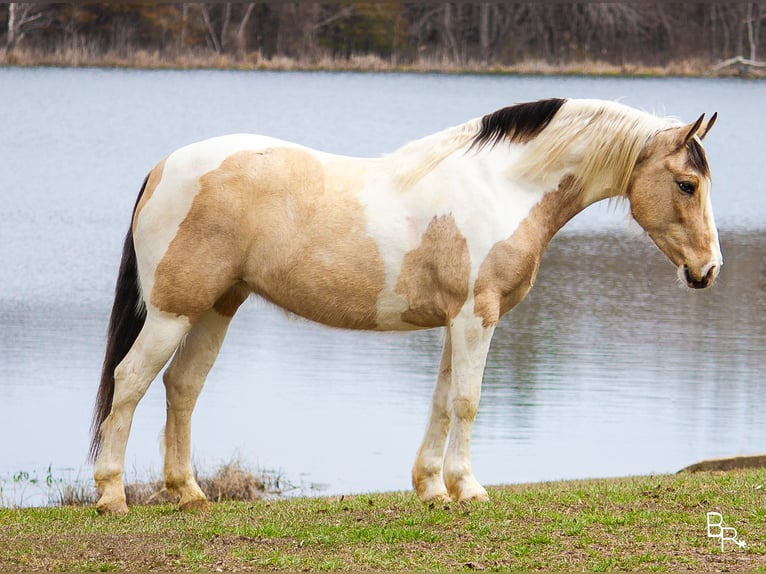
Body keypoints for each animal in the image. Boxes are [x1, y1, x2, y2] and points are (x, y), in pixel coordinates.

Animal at [88, 97, 720, 516]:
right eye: (687, 184)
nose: (708, 270)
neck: (504, 186)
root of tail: (163, 167)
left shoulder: (455, 322)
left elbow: (442, 402)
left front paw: (432, 487)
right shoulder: (476, 316)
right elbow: (467, 401)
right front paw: (469, 488)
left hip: (217, 306)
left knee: (182, 387)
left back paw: (189, 494)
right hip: (172, 312)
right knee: (131, 381)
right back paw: (112, 495)